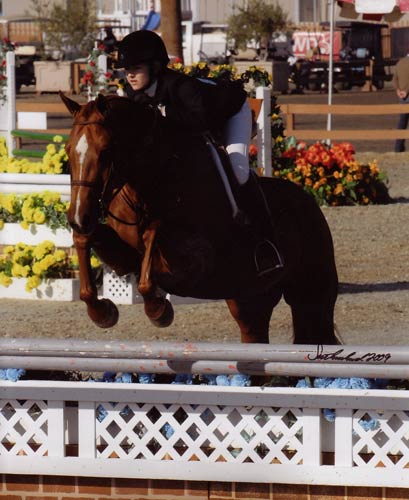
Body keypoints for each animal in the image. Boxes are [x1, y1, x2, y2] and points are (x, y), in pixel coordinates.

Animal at [59, 92, 338, 346]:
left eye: (106, 152)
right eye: (68, 150)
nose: (79, 217)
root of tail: (308, 201)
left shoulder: (197, 263)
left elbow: (152, 245)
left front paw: (159, 311)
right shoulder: (125, 257)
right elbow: (97, 244)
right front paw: (102, 312)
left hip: (311, 294)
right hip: (250, 299)